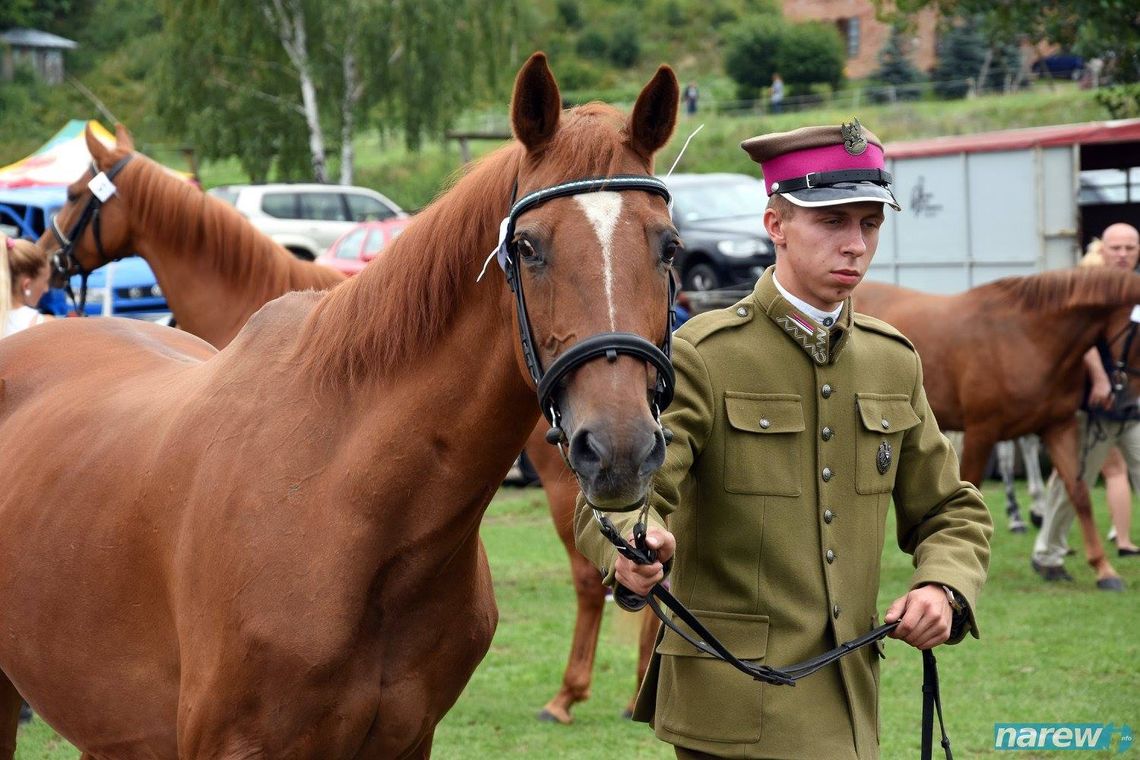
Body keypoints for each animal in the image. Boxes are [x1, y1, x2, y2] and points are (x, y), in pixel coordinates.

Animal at [857, 270, 1140, 592]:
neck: (1025, 336)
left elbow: (1079, 493)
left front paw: (1104, 570)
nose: (1130, 408)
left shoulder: (1059, 427)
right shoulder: (981, 431)